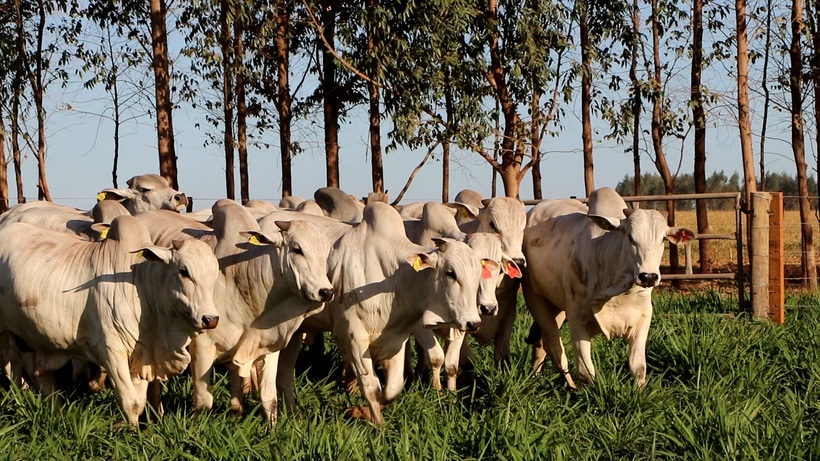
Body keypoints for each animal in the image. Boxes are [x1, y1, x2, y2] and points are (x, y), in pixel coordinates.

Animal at [0, 216, 221, 424]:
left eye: (214, 274)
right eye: (184, 271)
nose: (210, 319)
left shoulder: (141, 355)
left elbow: (140, 400)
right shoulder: (111, 350)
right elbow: (131, 402)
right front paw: (132, 432)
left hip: (28, 336)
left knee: (37, 373)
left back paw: (57, 411)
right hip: (5, 333)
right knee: (12, 368)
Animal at [324, 201, 484, 424]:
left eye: (479, 274)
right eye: (450, 273)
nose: (473, 323)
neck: (394, 279)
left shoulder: (397, 338)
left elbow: (392, 389)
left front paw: (361, 410)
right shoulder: (353, 336)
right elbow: (372, 387)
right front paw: (377, 423)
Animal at [524, 188, 696, 388]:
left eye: (662, 239)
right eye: (630, 237)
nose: (648, 277)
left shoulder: (643, 318)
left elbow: (638, 367)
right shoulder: (577, 319)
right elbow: (586, 372)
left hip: (557, 306)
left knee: (541, 344)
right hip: (535, 298)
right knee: (554, 347)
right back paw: (570, 387)